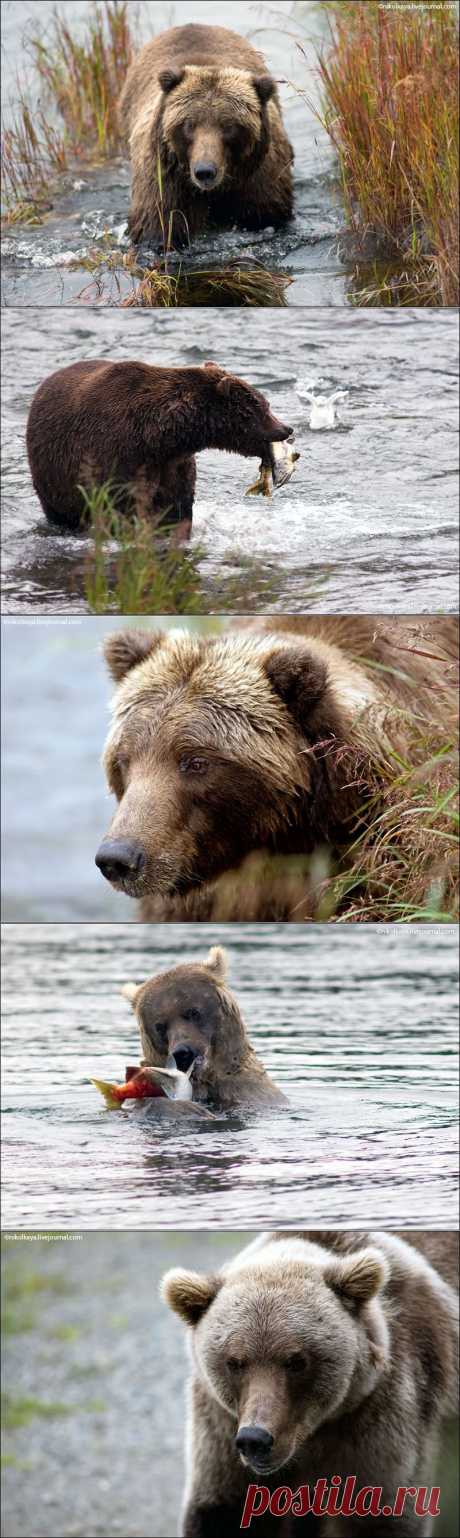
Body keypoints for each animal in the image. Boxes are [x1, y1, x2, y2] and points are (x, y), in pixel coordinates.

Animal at [25, 359, 292, 535]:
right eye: (261, 405)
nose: (287, 429)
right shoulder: (118, 453)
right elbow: (123, 503)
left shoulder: (174, 465)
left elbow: (177, 505)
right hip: (52, 470)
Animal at [116, 23, 293, 246]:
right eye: (189, 125)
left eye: (229, 126)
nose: (205, 171)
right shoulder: (166, 181)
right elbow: (160, 225)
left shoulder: (259, 179)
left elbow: (265, 213)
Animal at [162, 1224, 458, 1538]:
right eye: (234, 1362)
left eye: (296, 1361)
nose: (255, 1439)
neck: (309, 1436)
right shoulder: (221, 1427)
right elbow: (222, 1513)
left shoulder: (382, 1417)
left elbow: (380, 1515)